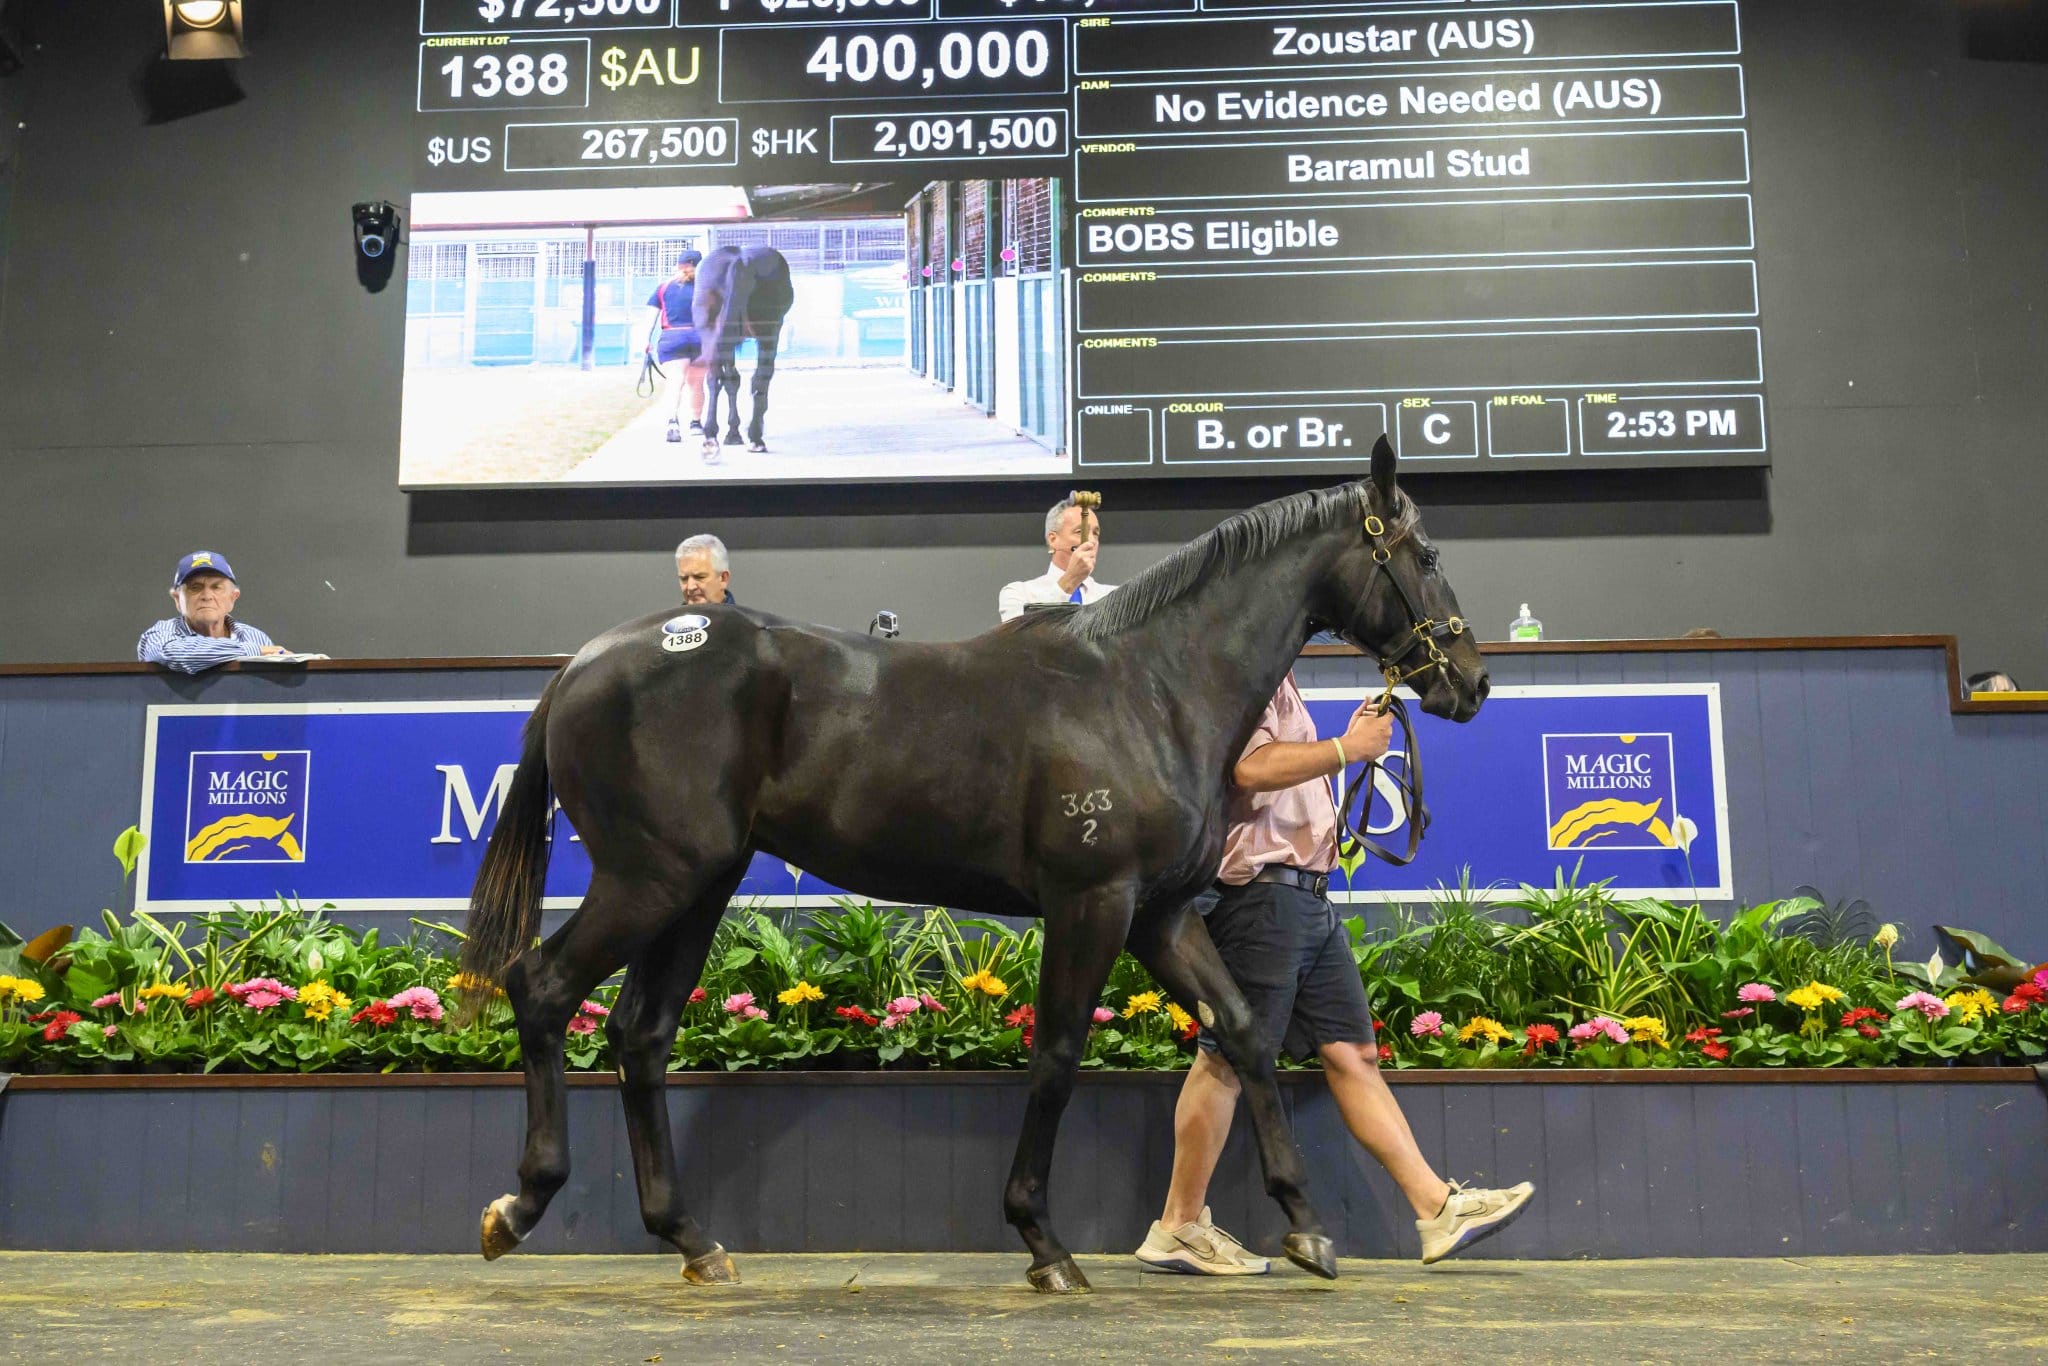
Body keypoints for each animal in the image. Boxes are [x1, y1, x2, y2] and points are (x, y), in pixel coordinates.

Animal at [464, 438, 1490, 1294]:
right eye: (1428, 556)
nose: (1471, 682)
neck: (1150, 688)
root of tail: (584, 663)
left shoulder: (1158, 914)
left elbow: (1240, 1032)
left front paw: (1306, 1226)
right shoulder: (1092, 904)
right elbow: (1059, 1054)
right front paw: (1044, 1243)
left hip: (698, 888)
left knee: (641, 1034)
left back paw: (692, 1240)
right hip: (652, 881)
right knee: (543, 987)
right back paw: (517, 1207)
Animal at [688, 242, 782, 456]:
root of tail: (741, 260)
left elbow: (731, 380)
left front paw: (733, 433)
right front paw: (737, 432)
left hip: (713, 332)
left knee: (715, 378)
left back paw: (711, 436)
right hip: (767, 331)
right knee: (759, 378)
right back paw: (754, 437)